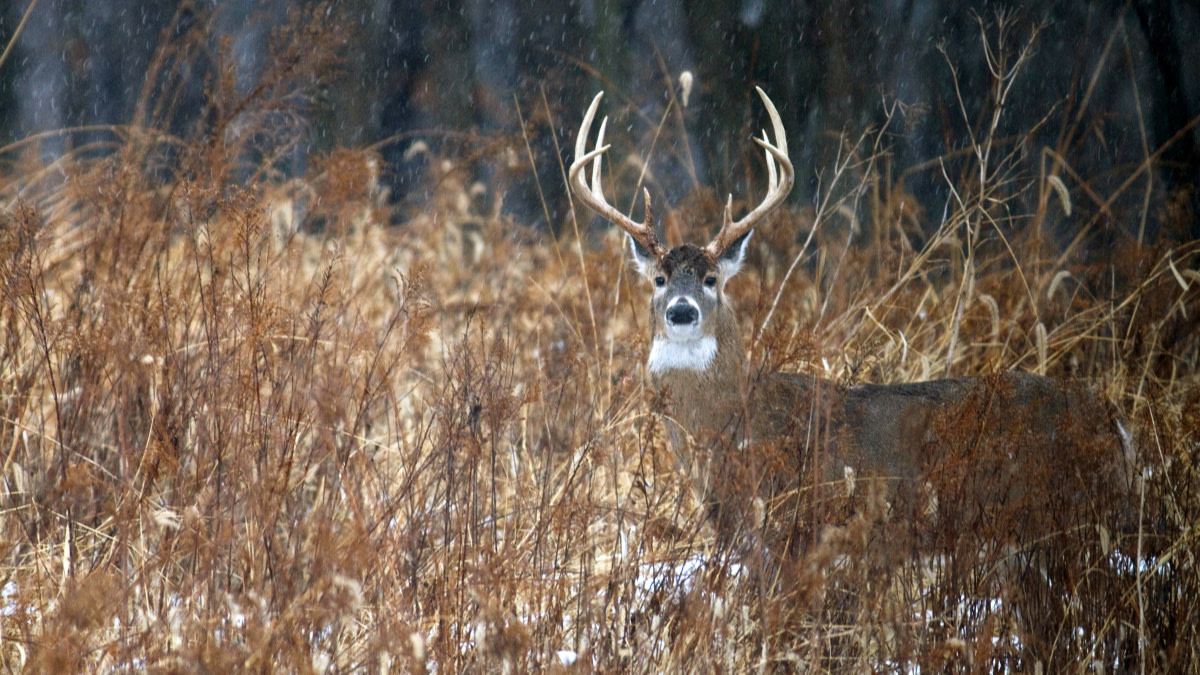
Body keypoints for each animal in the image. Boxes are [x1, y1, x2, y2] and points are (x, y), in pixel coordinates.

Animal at [566, 88, 1137, 557]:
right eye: (660, 278)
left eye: (711, 279)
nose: (681, 311)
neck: (733, 430)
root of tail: (1113, 422)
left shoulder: (794, 524)